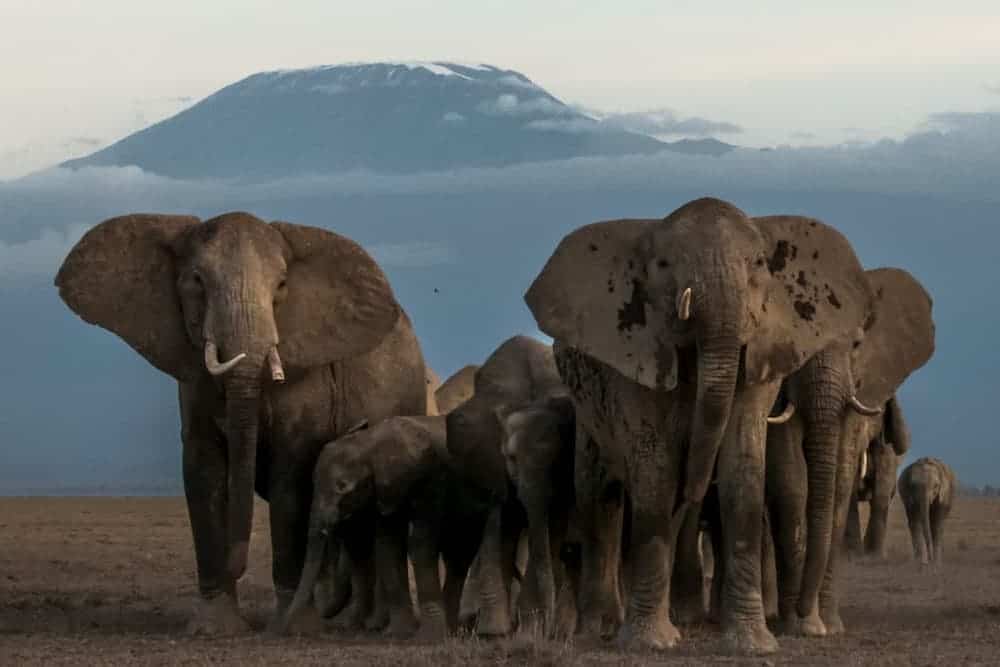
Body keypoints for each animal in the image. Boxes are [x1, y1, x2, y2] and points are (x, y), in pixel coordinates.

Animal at [54, 212, 428, 636]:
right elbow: (203, 471)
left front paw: (291, 627)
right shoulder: (192, 379)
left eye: (281, 286)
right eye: (197, 281)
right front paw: (215, 627)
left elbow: (290, 476)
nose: (238, 566)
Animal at [276, 415, 487, 640]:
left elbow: (420, 542)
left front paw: (424, 636)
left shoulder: (430, 479)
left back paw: (452, 631)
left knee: (459, 553)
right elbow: (388, 544)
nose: (285, 630)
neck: (370, 444)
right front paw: (399, 633)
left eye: (342, 487)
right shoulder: (384, 492)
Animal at [445, 334, 569, 637]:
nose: (550, 630)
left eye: (558, 460)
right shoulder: (490, 459)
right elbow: (503, 522)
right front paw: (494, 632)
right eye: (511, 458)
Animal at [525, 197, 875, 655]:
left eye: (759, 263)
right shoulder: (637, 352)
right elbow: (655, 469)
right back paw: (598, 629)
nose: (805, 619)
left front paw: (753, 644)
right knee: (599, 497)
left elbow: (743, 471)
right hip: (586, 409)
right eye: (662, 264)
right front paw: (651, 643)